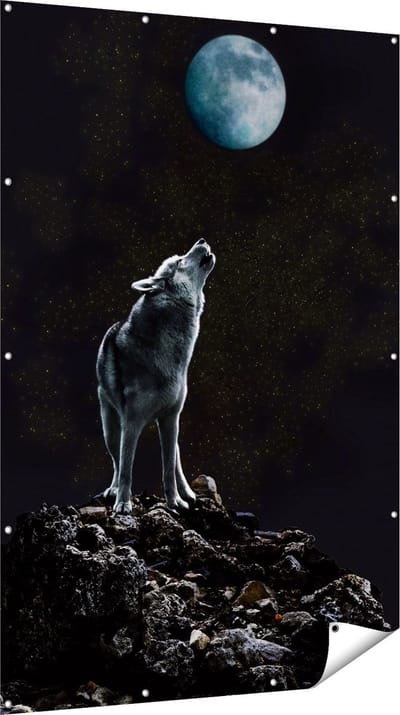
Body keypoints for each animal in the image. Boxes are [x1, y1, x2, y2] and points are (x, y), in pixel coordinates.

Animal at [96, 238, 216, 514]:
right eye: (180, 261)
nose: (202, 240)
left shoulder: (171, 418)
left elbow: (168, 468)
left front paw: (175, 502)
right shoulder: (131, 423)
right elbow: (126, 468)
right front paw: (123, 504)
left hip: (171, 427)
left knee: (176, 461)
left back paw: (188, 493)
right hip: (110, 430)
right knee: (116, 462)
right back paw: (114, 490)